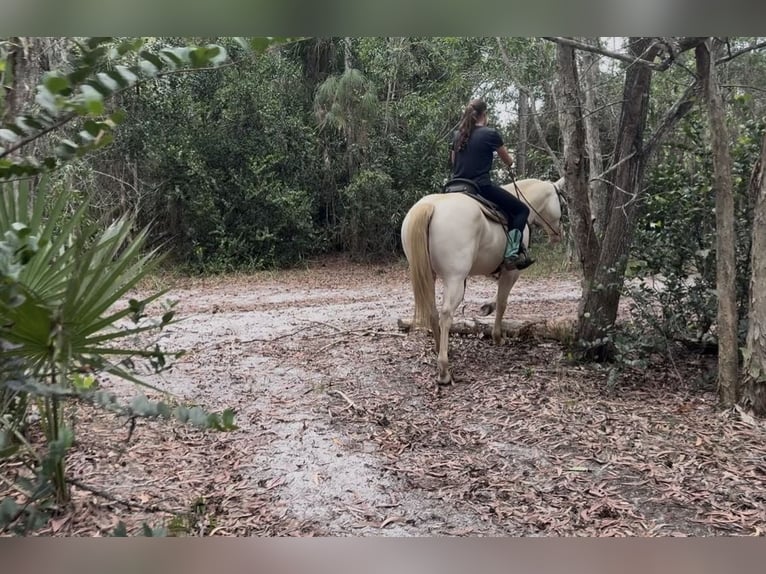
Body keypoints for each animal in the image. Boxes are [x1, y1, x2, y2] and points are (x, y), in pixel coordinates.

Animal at [400, 177, 565, 385]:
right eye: (562, 203)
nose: (560, 234)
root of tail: (431, 206)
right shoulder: (511, 272)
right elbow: (502, 302)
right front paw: (497, 337)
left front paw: (487, 308)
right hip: (455, 278)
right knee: (446, 314)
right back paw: (444, 370)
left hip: (428, 276)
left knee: (433, 312)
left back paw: (440, 349)